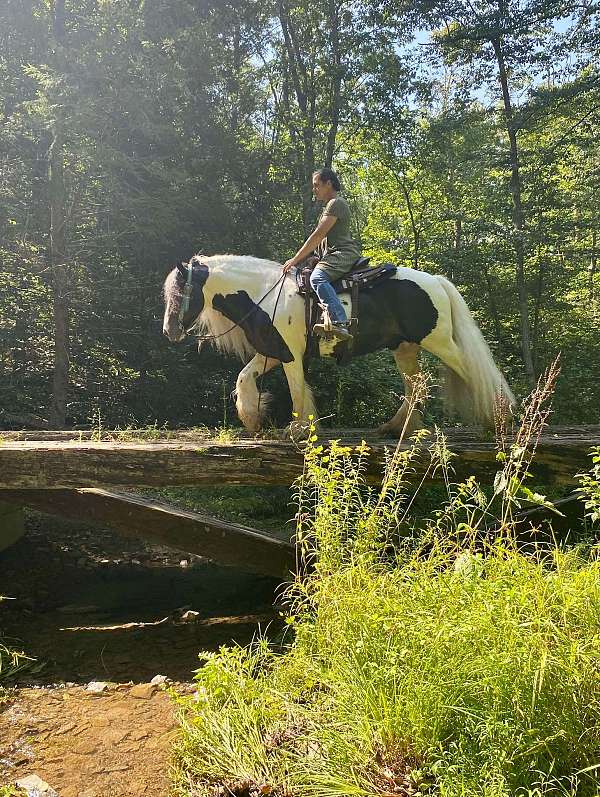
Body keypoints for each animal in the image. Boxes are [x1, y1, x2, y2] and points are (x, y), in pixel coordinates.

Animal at [162, 255, 512, 436]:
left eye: (179, 293)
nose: (170, 331)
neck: (265, 293)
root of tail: (436, 281)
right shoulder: (273, 350)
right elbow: (244, 377)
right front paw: (252, 418)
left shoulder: (290, 354)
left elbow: (297, 390)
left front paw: (298, 429)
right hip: (405, 348)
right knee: (417, 386)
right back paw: (395, 426)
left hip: (439, 342)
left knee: (472, 371)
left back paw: (501, 416)